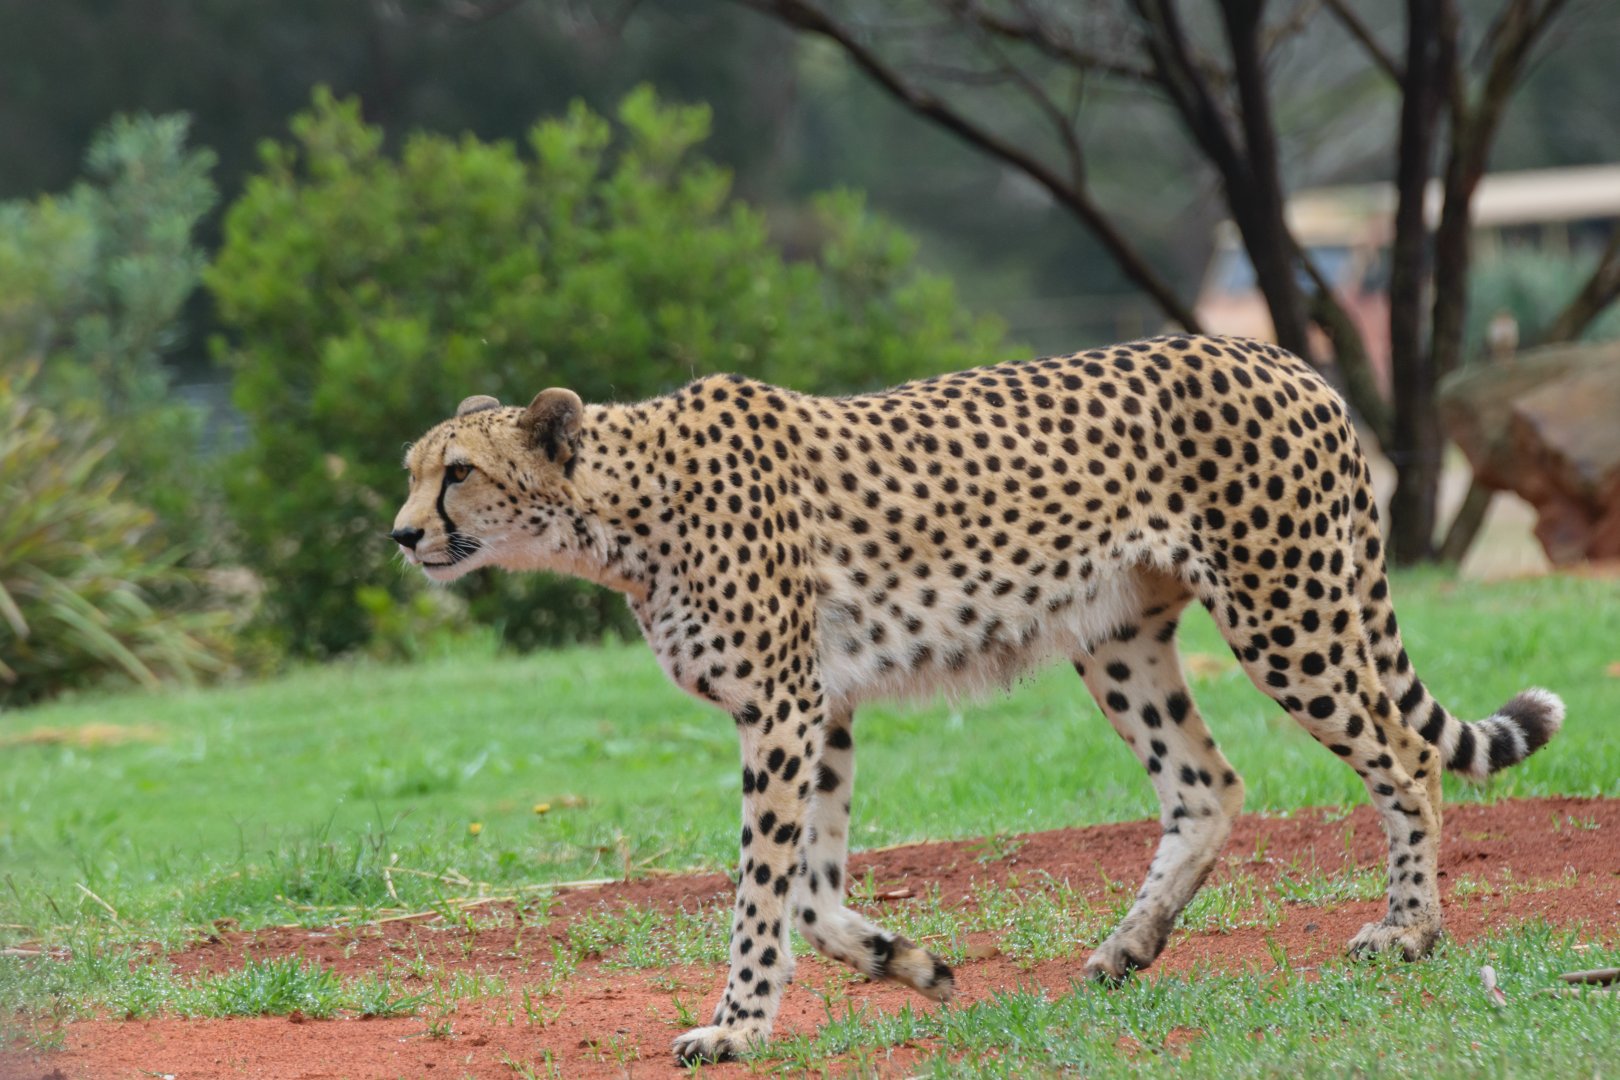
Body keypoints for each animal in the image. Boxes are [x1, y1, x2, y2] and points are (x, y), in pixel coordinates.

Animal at [390, 334, 1563, 1065]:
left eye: (456, 473)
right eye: (411, 470)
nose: (401, 535)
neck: (621, 513)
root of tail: (1279, 356)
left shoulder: (781, 707)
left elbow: (762, 890)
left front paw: (737, 1027)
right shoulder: (823, 708)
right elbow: (809, 891)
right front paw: (906, 962)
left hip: (1289, 612)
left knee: (1405, 757)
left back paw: (1409, 932)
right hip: (1118, 638)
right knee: (1209, 785)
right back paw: (1129, 947)